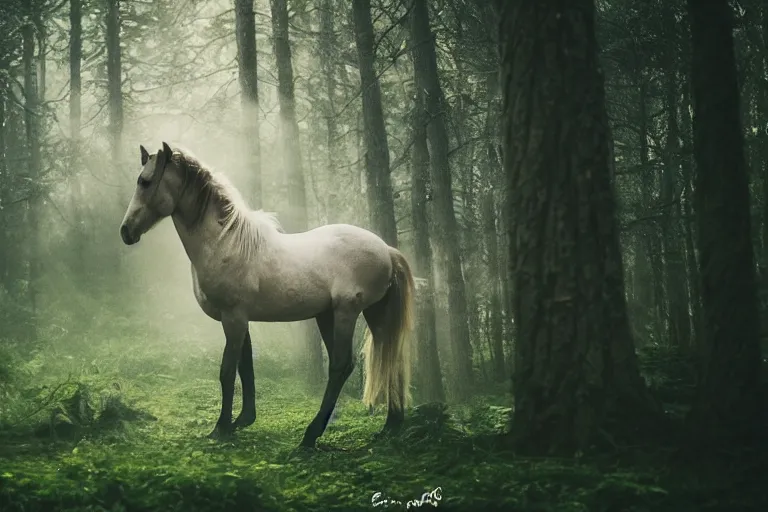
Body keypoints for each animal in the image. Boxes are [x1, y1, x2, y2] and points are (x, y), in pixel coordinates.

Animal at [118, 142, 414, 446]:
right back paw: (391, 424)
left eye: (145, 181)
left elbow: (227, 372)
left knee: (341, 365)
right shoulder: (240, 320)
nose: (126, 231)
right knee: (386, 355)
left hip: (346, 313)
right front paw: (242, 420)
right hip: (356, 315)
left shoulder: (233, 318)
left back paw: (311, 435)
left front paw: (221, 428)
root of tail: (386, 250)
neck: (226, 242)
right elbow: (245, 367)